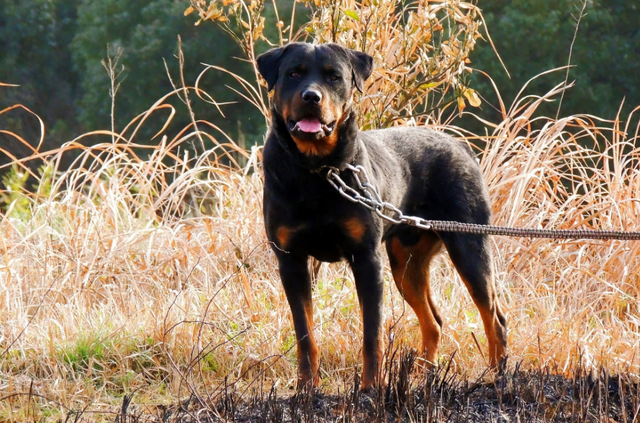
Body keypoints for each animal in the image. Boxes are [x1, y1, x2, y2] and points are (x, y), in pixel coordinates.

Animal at [258, 43, 508, 390]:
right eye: (293, 73)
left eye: (334, 77)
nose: (311, 97)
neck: (318, 171)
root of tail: (461, 145)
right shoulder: (291, 260)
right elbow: (305, 334)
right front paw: (307, 388)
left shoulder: (366, 258)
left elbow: (372, 334)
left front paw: (370, 388)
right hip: (406, 262)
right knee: (434, 321)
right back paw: (425, 377)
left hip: (469, 245)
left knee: (493, 316)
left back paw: (496, 377)